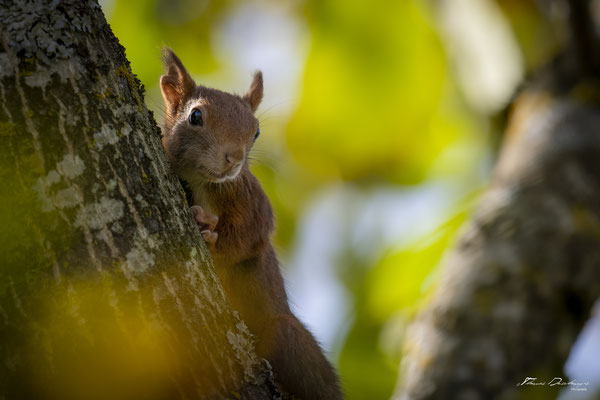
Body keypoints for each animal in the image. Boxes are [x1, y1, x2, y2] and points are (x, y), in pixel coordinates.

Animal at [158, 48, 342, 398]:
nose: (234, 158)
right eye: (195, 117)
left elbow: (246, 240)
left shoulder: (254, 204)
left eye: (255, 132)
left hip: (284, 333)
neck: (202, 180)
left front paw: (209, 232)